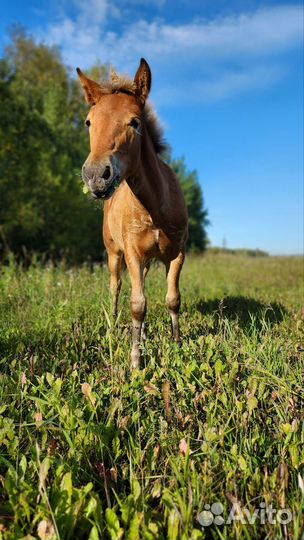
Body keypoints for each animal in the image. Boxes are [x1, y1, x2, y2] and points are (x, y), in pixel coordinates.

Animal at [76, 60, 188, 372]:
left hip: (148, 260)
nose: (95, 176)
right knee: (116, 288)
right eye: (89, 122)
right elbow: (137, 304)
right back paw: (114, 327)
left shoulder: (177, 252)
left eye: (135, 122)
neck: (156, 206)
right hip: (115, 254)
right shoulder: (133, 254)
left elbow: (172, 299)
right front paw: (136, 362)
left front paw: (176, 344)